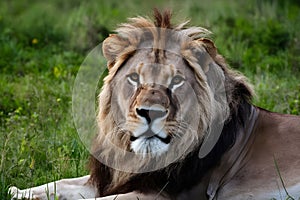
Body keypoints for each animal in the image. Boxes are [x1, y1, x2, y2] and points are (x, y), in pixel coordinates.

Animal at [9, 9, 300, 200]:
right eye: (134, 78)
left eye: (177, 81)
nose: (150, 113)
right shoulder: (112, 178)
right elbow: (62, 183)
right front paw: (19, 191)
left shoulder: (168, 195)